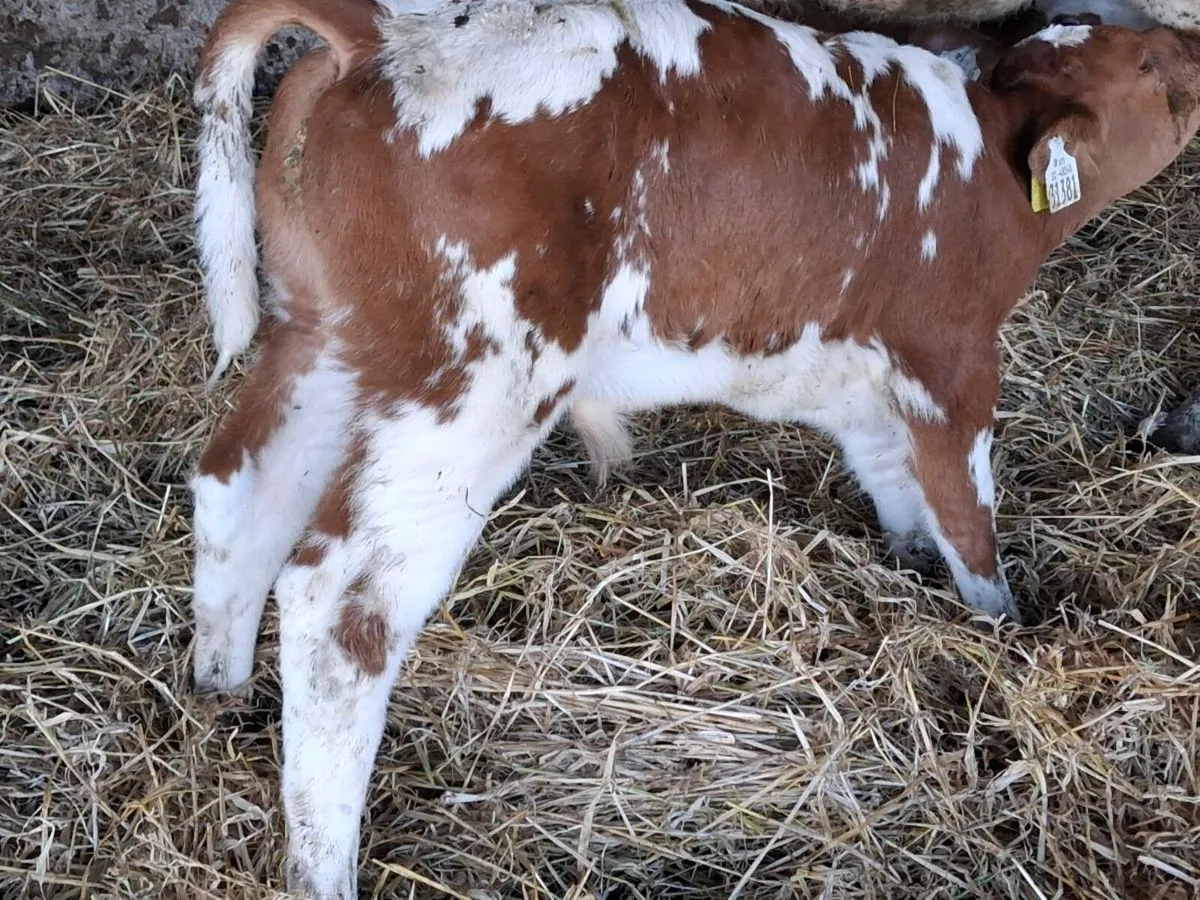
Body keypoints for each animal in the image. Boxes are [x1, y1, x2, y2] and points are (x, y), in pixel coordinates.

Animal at [189, 0, 1200, 895]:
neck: (981, 166)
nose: (1190, 44)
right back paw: (322, 868)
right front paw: (1004, 632)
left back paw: (219, 694)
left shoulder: (858, 384)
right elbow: (968, 516)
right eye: (1152, 71)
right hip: (465, 386)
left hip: (321, 338)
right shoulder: (950, 366)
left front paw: (911, 573)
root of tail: (378, 29)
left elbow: (899, 489)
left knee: (236, 486)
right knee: (339, 604)